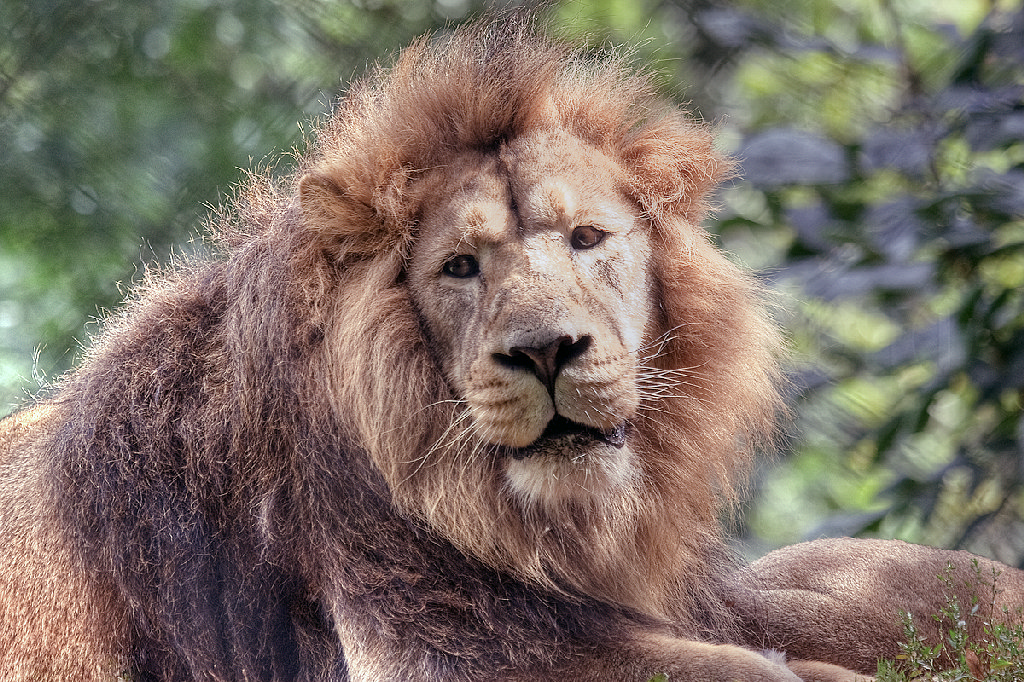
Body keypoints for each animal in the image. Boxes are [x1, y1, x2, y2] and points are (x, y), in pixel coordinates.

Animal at [2, 15, 1022, 682]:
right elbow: (765, 669)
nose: (547, 352)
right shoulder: (435, 643)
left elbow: (910, 590)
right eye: (460, 266)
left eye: (586, 239)